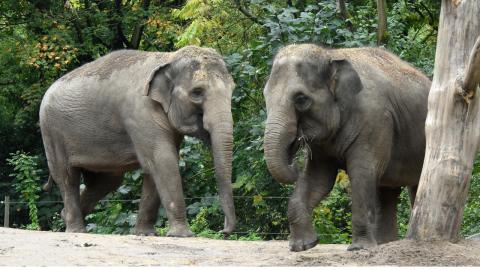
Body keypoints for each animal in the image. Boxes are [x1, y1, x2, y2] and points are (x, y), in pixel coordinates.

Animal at [39, 46, 236, 236]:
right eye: (197, 92)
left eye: (232, 89)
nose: (223, 231)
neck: (168, 58)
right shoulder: (140, 113)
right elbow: (163, 161)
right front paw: (183, 235)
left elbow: (154, 167)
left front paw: (146, 234)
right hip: (52, 132)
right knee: (68, 177)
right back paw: (76, 229)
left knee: (107, 181)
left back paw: (64, 216)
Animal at [262, 43, 432, 252]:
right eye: (265, 95)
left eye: (301, 99)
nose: (294, 165)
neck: (331, 54)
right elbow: (319, 178)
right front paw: (303, 246)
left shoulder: (374, 119)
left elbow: (362, 172)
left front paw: (359, 248)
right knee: (387, 191)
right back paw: (384, 245)